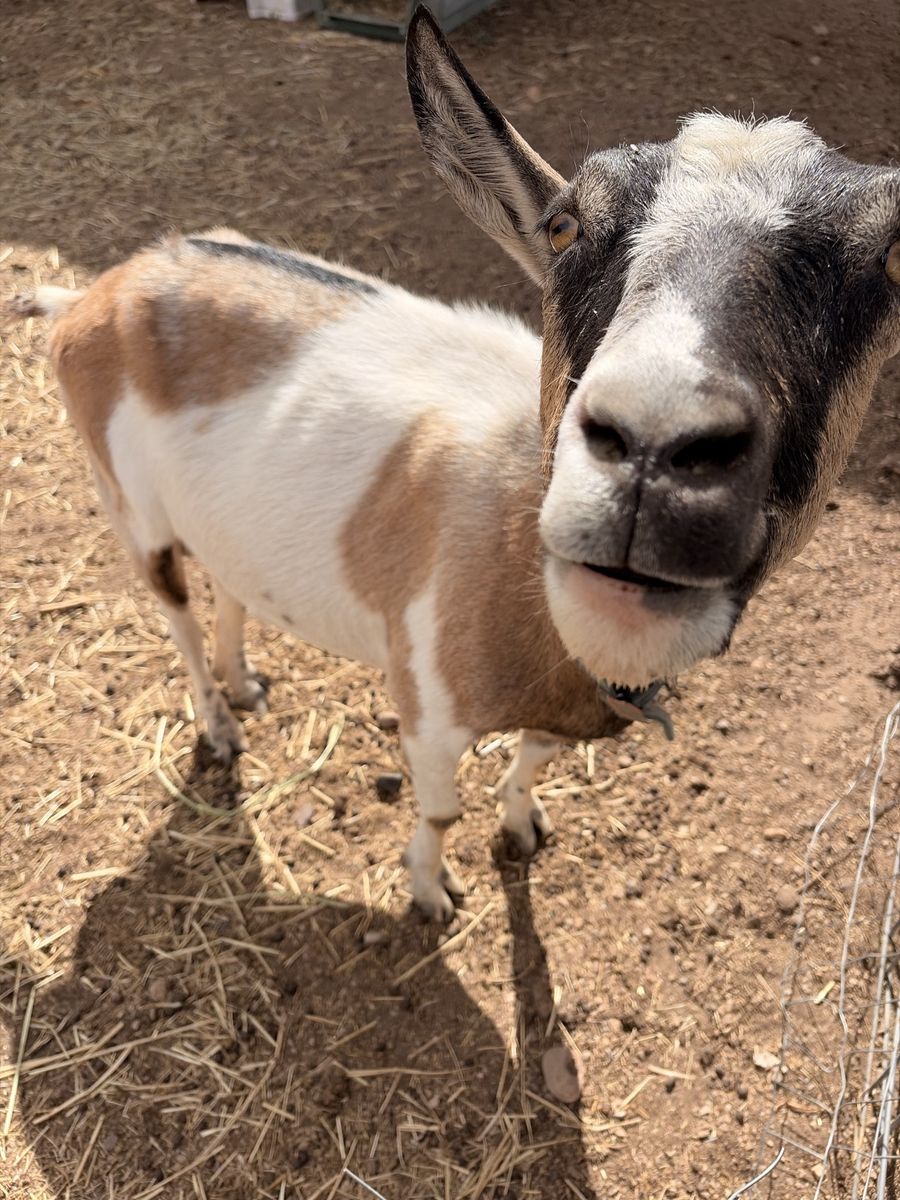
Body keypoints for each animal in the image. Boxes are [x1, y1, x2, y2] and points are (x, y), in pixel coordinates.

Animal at [15, 8, 900, 920]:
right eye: (563, 225)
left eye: (892, 258)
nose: (655, 452)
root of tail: (97, 291)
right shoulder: (427, 706)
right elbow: (440, 808)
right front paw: (430, 890)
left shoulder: (556, 708)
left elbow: (531, 764)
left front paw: (521, 826)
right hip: (129, 505)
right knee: (176, 614)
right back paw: (219, 725)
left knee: (227, 585)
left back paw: (243, 684)